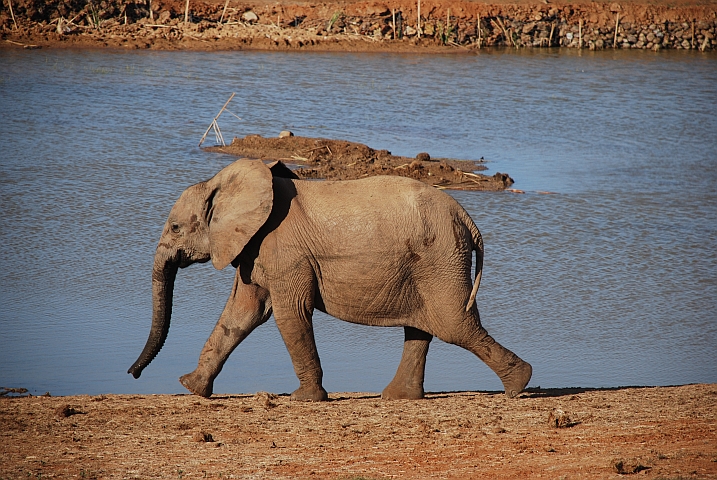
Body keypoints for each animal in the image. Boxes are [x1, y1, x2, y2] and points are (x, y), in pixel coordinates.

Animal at [129, 159, 532, 400]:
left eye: (175, 227)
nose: (132, 373)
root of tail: (469, 221)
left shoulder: (285, 252)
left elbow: (289, 314)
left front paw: (303, 399)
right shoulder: (253, 249)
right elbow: (241, 314)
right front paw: (192, 388)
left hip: (441, 258)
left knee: (454, 324)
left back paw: (519, 385)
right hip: (429, 263)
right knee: (422, 327)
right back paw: (396, 397)